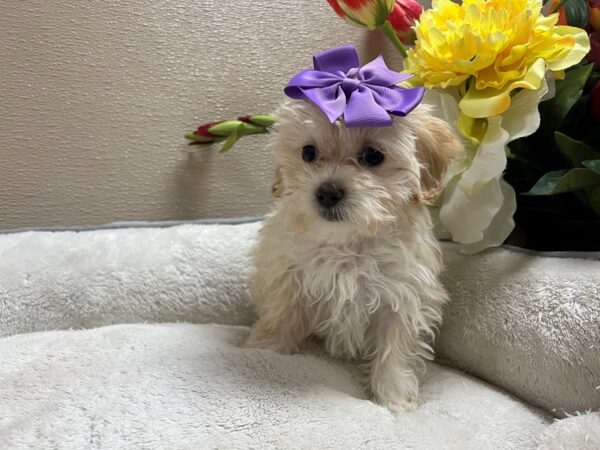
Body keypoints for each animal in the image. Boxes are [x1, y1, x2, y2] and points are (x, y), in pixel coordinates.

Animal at [244, 99, 464, 414]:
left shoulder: (404, 295)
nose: (327, 192)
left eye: (372, 156)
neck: (347, 241)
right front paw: (264, 349)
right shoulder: (287, 274)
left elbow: (396, 347)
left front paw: (394, 398)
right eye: (308, 152)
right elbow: (281, 314)